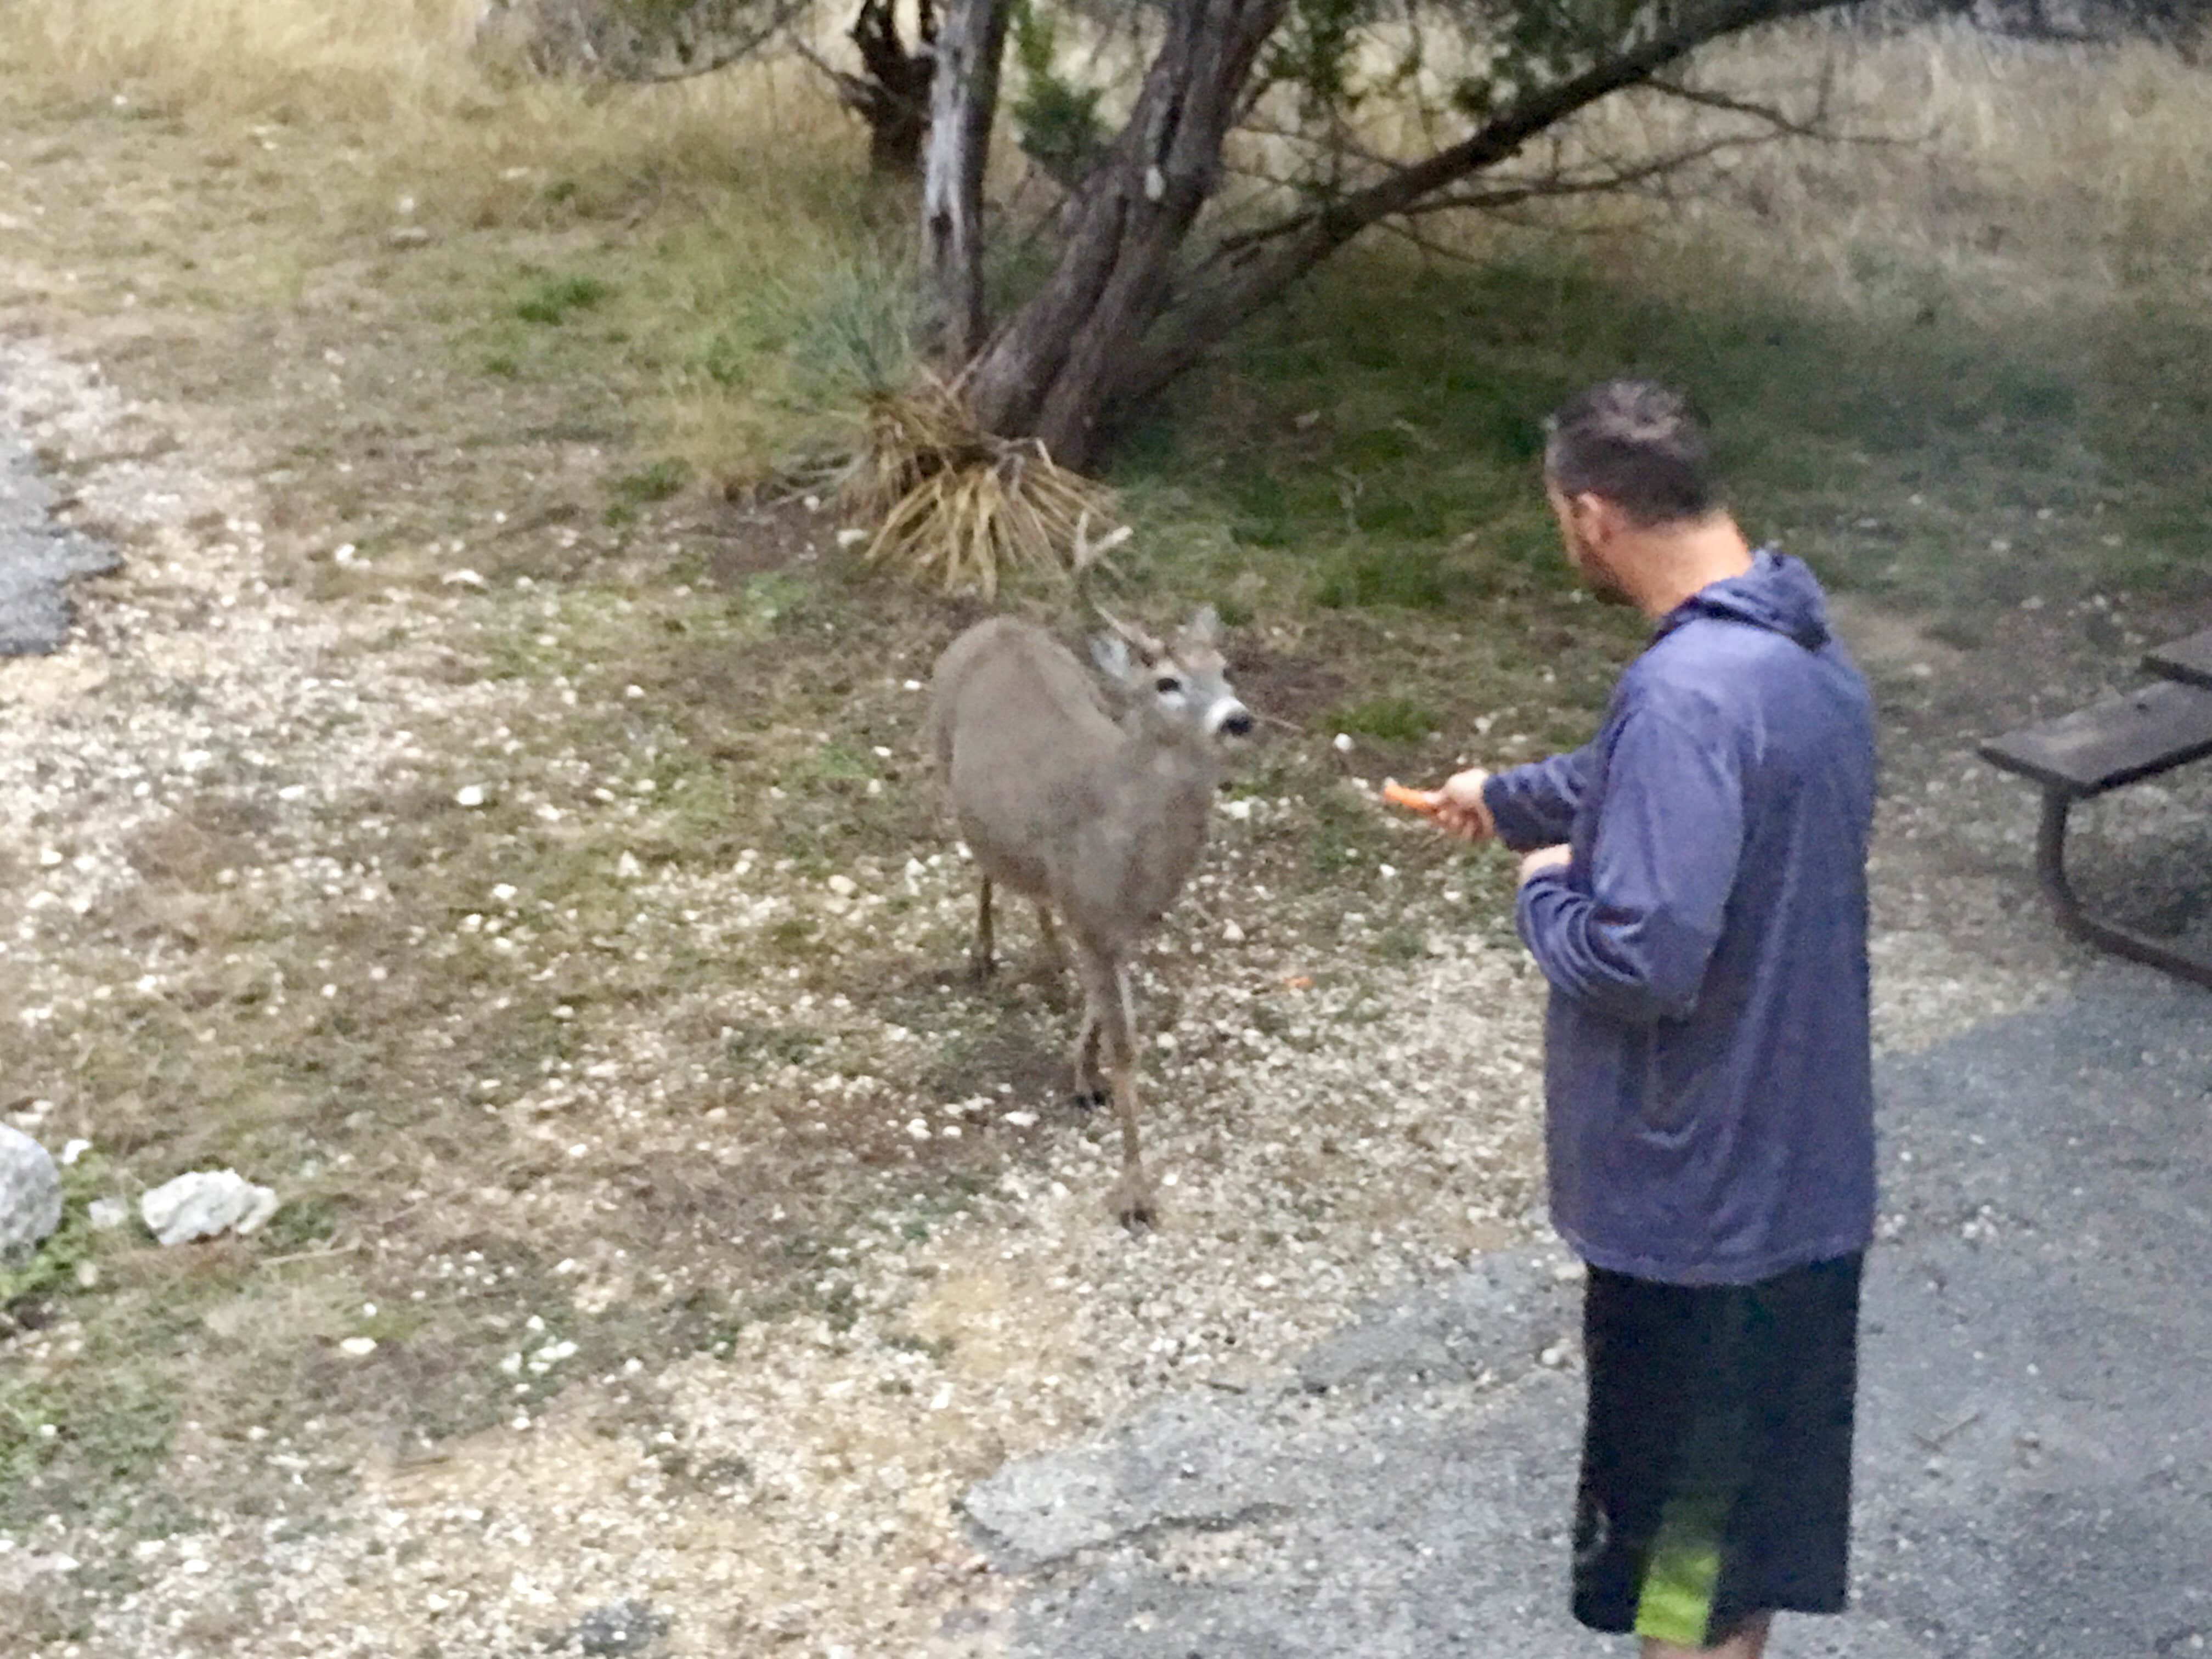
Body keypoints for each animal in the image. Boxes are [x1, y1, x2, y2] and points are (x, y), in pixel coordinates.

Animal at [920, 520, 1265, 1238]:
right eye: (1166, 682)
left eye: (1225, 669)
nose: (1238, 719)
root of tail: (995, 622)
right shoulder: (1094, 912)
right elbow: (1127, 1046)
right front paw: (1135, 1195)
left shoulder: (1120, 922)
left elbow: (1105, 1015)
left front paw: (1081, 1077)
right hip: (941, 758)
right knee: (980, 862)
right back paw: (982, 953)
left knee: (1028, 886)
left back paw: (1046, 956)